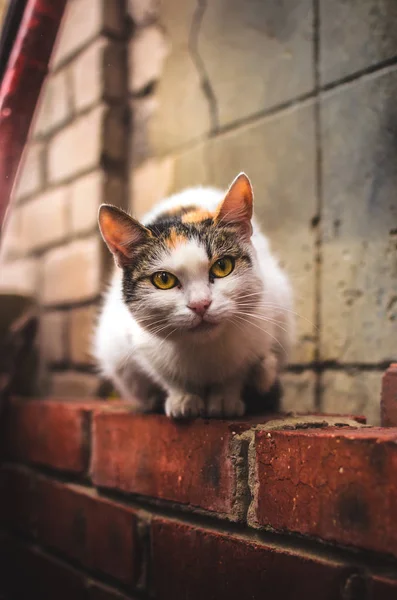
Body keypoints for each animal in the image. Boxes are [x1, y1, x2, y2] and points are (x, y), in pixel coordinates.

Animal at [92, 173, 290, 418]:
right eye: (163, 279)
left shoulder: (262, 325)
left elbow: (236, 374)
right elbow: (168, 377)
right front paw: (183, 399)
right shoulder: (139, 343)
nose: (200, 304)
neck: (203, 351)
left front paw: (224, 399)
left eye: (223, 266)